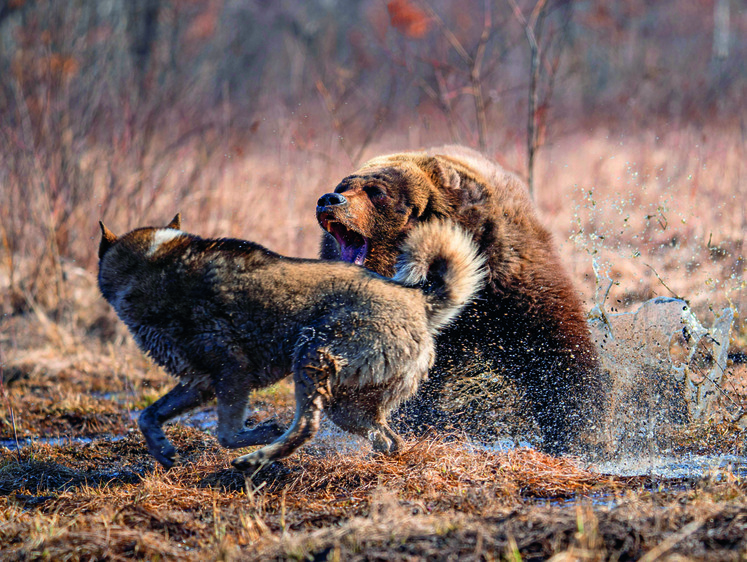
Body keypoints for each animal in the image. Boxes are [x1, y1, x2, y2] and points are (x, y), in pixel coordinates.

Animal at [98, 213, 486, 468]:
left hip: (311, 357)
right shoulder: (200, 383)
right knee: (389, 440)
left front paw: (262, 432)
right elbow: (147, 416)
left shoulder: (231, 371)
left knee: (305, 427)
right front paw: (163, 452)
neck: (154, 266)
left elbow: (226, 433)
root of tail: (419, 300)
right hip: (347, 405)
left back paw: (256, 459)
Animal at [316, 142, 608, 452]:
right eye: (343, 186)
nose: (329, 200)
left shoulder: (505, 273)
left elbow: (554, 345)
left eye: (377, 191)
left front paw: (583, 430)